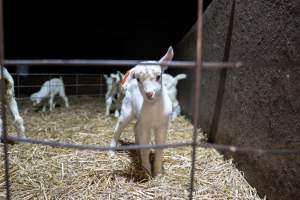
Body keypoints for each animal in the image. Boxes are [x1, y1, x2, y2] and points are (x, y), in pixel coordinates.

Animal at [110, 46, 175, 176]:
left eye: (159, 76)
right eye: (139, 79)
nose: (149, 94)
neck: (153, 108)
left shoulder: (162, 125)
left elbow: (160, 148)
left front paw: (158, 172)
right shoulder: (145, 126)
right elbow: (145, 148)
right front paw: (146, 170)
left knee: (135, 127)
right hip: (127, 110)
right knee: (118, 129)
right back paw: (111, 151)